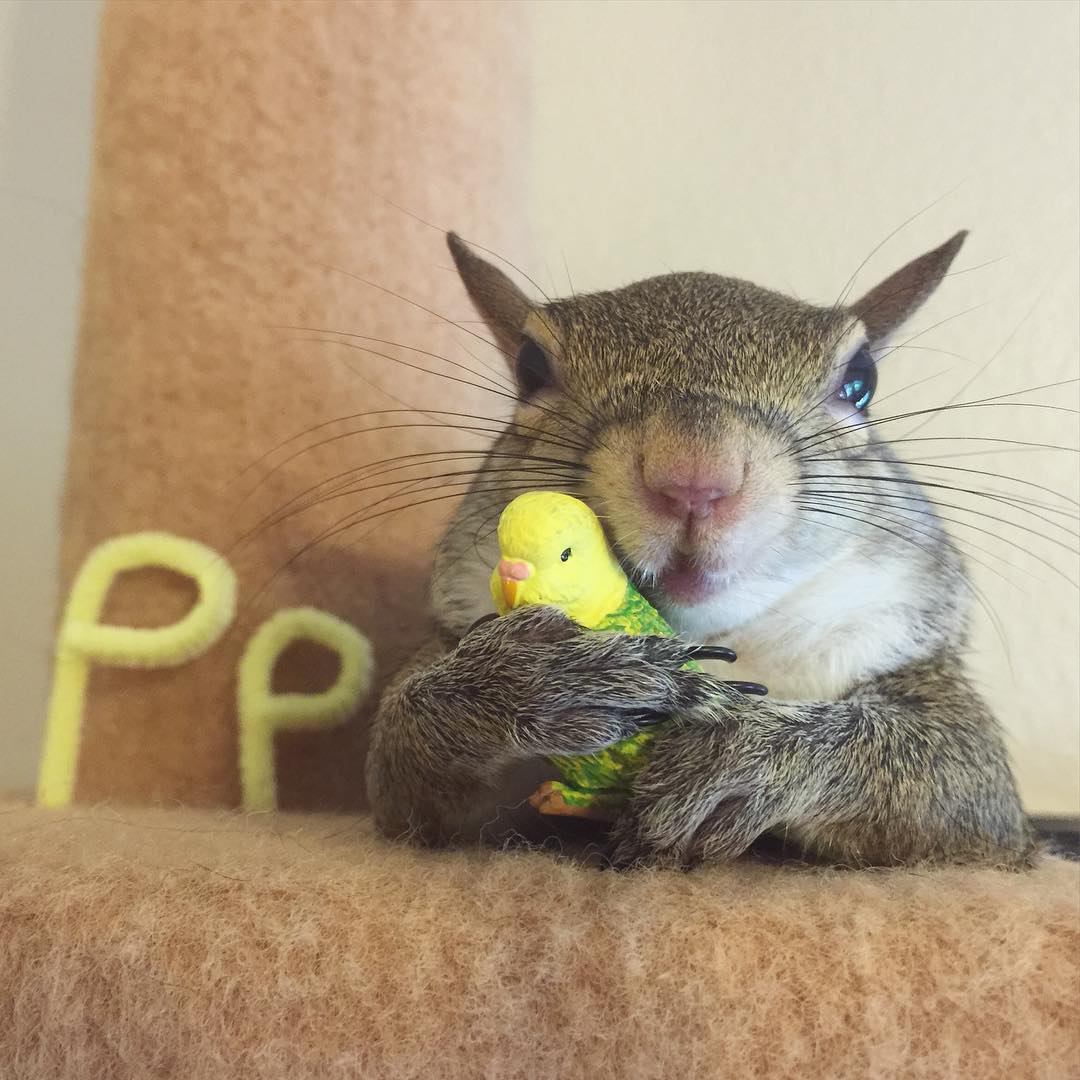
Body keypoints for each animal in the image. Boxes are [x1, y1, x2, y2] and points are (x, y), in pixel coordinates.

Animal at [364, 229, 1038, 868]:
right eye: (531, 366)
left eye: (861, 380)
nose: (692, 474)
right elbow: (403, 771)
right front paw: (522, 681)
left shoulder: (927, 685)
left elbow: (954, 774)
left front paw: (750, 751)